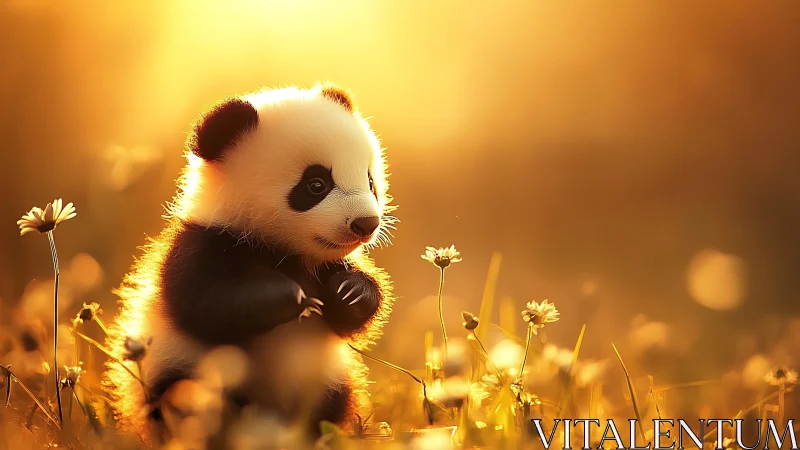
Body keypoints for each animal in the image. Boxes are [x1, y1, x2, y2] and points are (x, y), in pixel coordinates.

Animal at [103, 84, 397, 443]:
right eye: (316, 185)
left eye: (370, 181)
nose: (366, 223)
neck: (285, 250)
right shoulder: (200, 245)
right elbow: (206, 303)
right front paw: (293, 297)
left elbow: (350, 317)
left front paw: (351, 292)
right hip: (188, 366)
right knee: (191, 401)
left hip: (326, 376)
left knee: (332, 403)